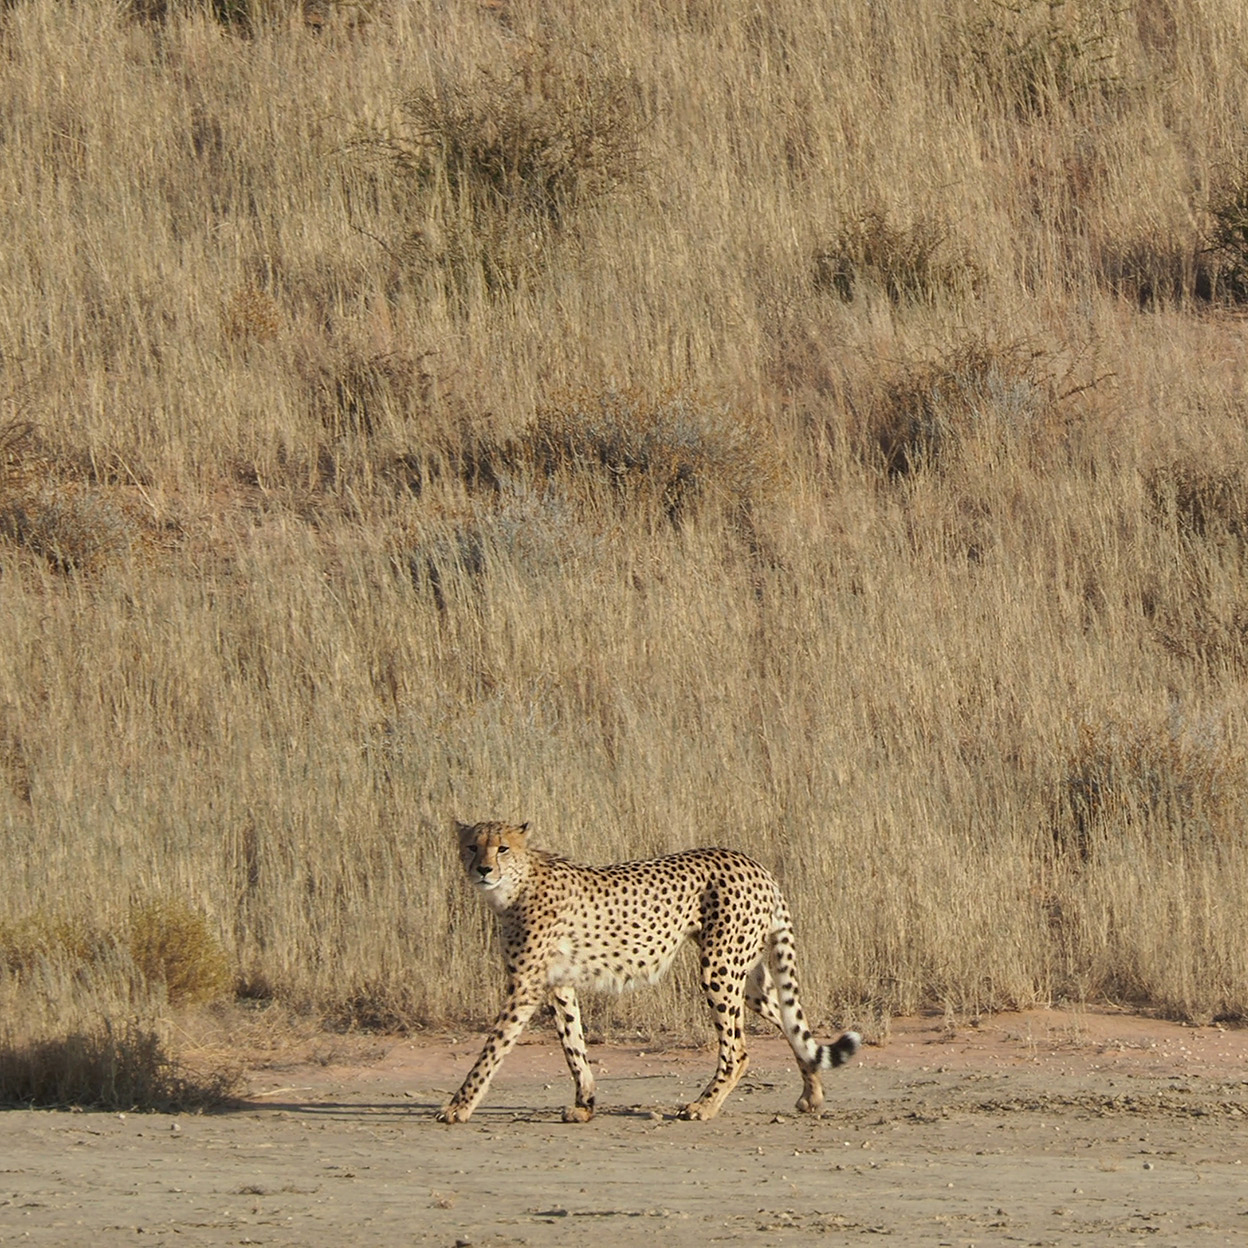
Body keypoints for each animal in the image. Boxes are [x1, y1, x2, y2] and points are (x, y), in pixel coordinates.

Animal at [436, 823, 858, 1128]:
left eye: (502, 848)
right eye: (472, 846)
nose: (483, 869)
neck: (517, 885)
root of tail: (753, 863)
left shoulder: (524, 988)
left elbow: (492, 1050)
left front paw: (458, 1107)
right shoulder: (559, 986)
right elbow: (573, 1046)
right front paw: (584, 1104)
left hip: (719, 969)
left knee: (737, 1050)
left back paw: (703, 1106)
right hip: (747, 975)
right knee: (790, 1022)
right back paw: (812, 1094)